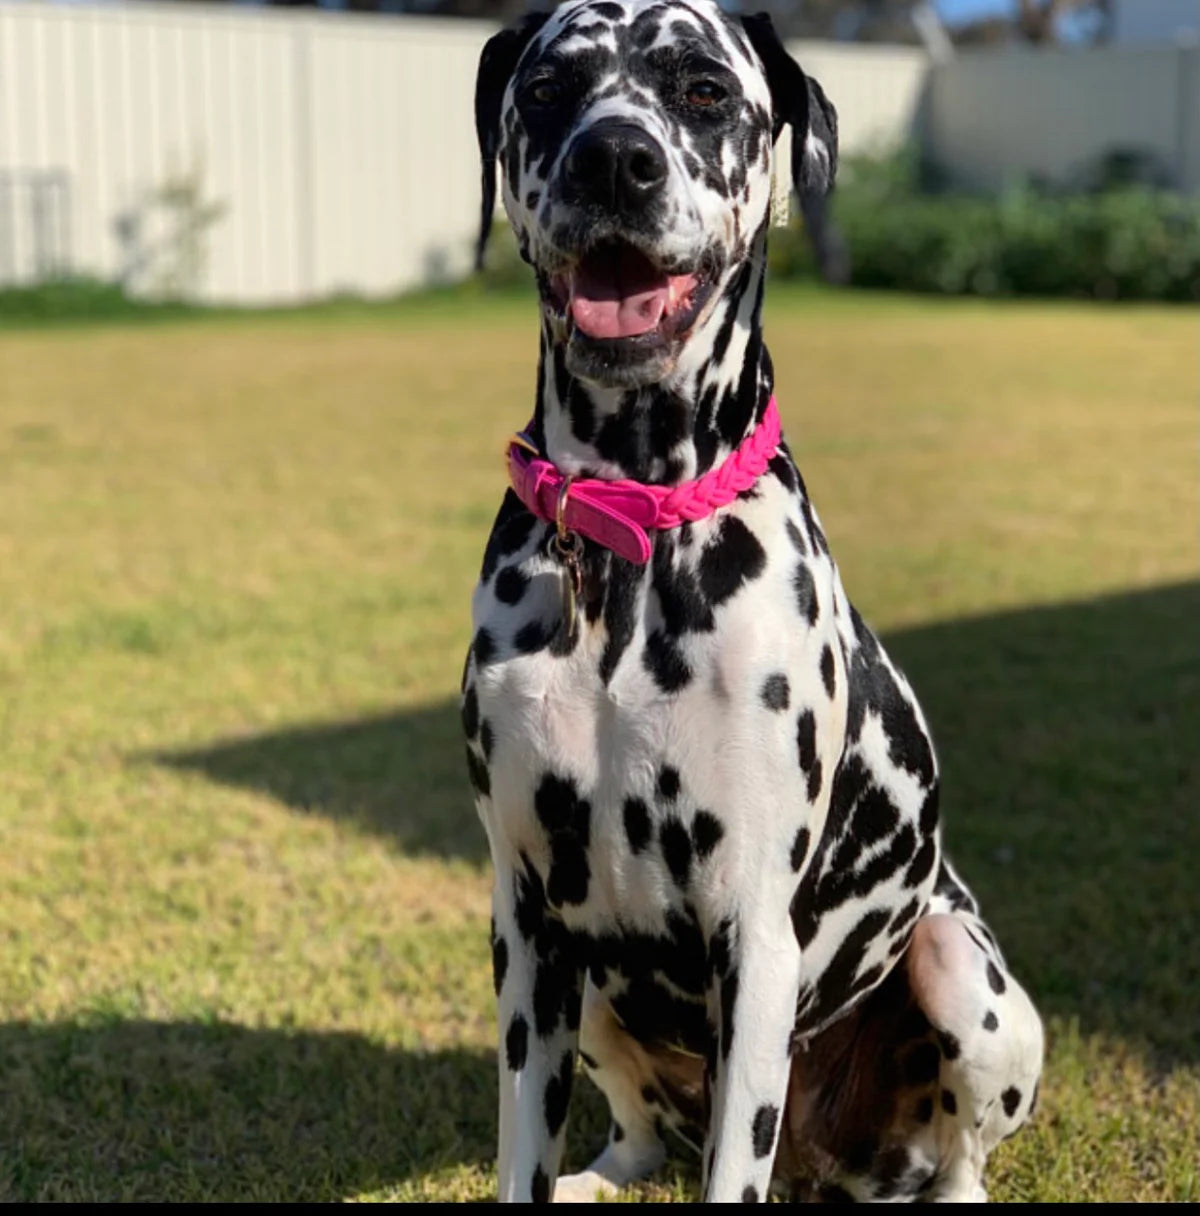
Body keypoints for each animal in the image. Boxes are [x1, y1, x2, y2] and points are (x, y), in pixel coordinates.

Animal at [459, 0, 1040, 1196]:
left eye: (703, 90)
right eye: (548, 89)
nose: (613, 159)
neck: (634, 532)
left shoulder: (755, 936)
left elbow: (733, 1160)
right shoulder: (528, 925)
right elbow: (521, 1152)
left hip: (958, 969)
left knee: (961, 1156)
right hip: (593, 993)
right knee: (638, 1129)